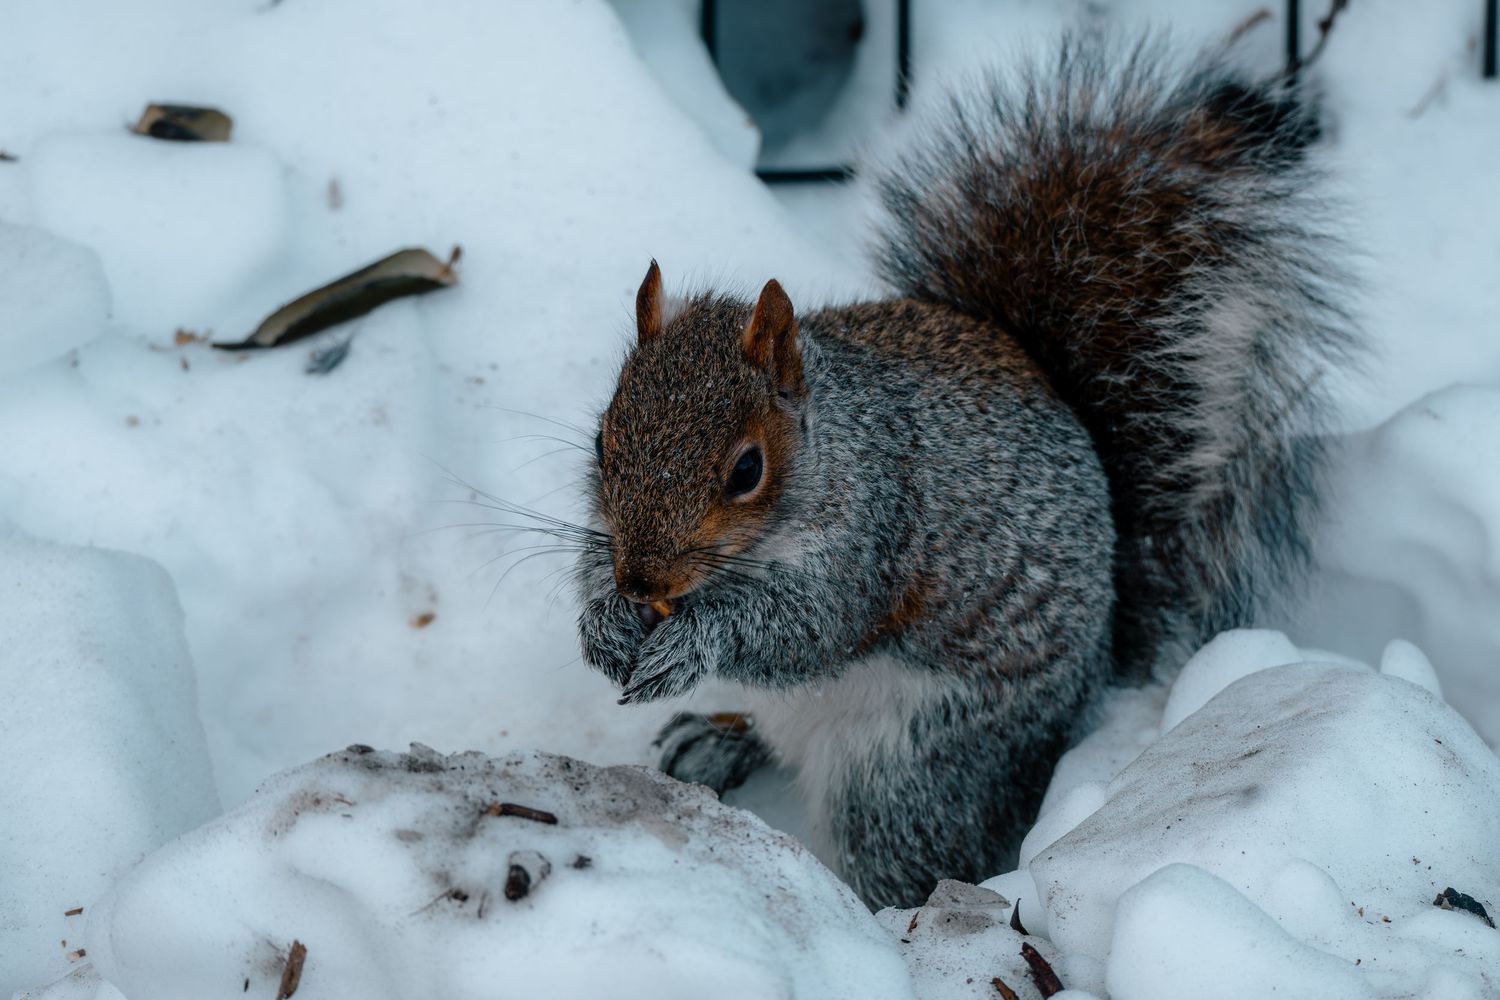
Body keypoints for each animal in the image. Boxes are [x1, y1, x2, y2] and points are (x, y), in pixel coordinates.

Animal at [573, 35, 1354, 909]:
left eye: (748, 469)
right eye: (601, 439)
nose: (641, 582)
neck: (832, 447)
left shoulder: (873, 539)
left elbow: (800, 628)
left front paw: (694, 641)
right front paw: (603, 620)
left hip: (914, 765)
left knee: (905, 850)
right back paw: (717, 738)